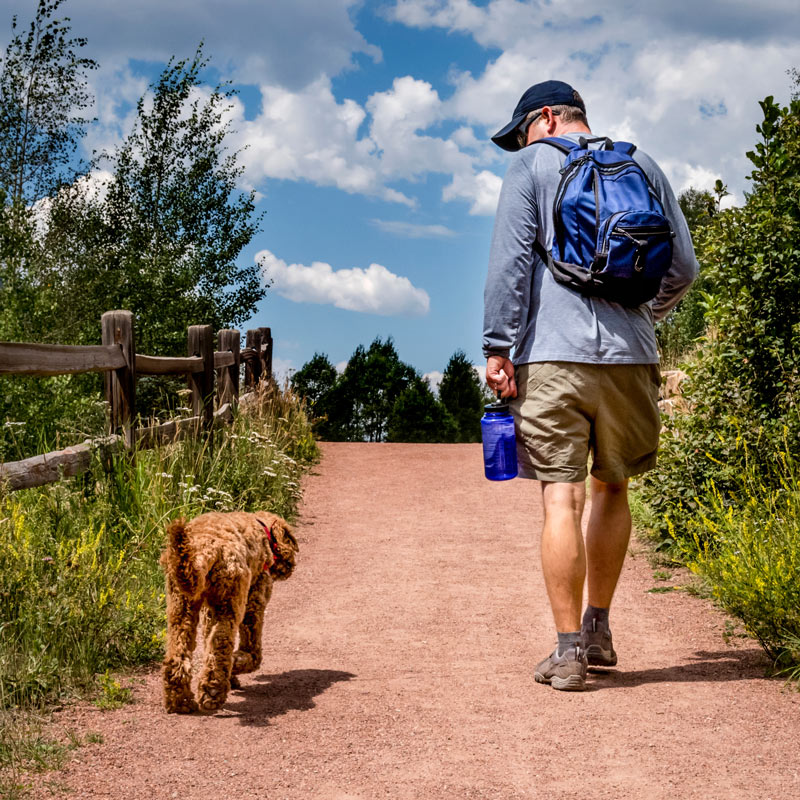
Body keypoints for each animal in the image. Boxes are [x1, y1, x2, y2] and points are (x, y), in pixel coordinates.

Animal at [159, 512, 296, 712]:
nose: (292, 566)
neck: (261, 529)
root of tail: (204, 549)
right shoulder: (254, 601)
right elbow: (251, 650)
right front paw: (238, 663)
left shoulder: (209, 611)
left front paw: (232, 673)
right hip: (229, 601)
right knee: (221, 644)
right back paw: (212, 692)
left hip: (182, 604)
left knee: (179, 653)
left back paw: (180, 701)